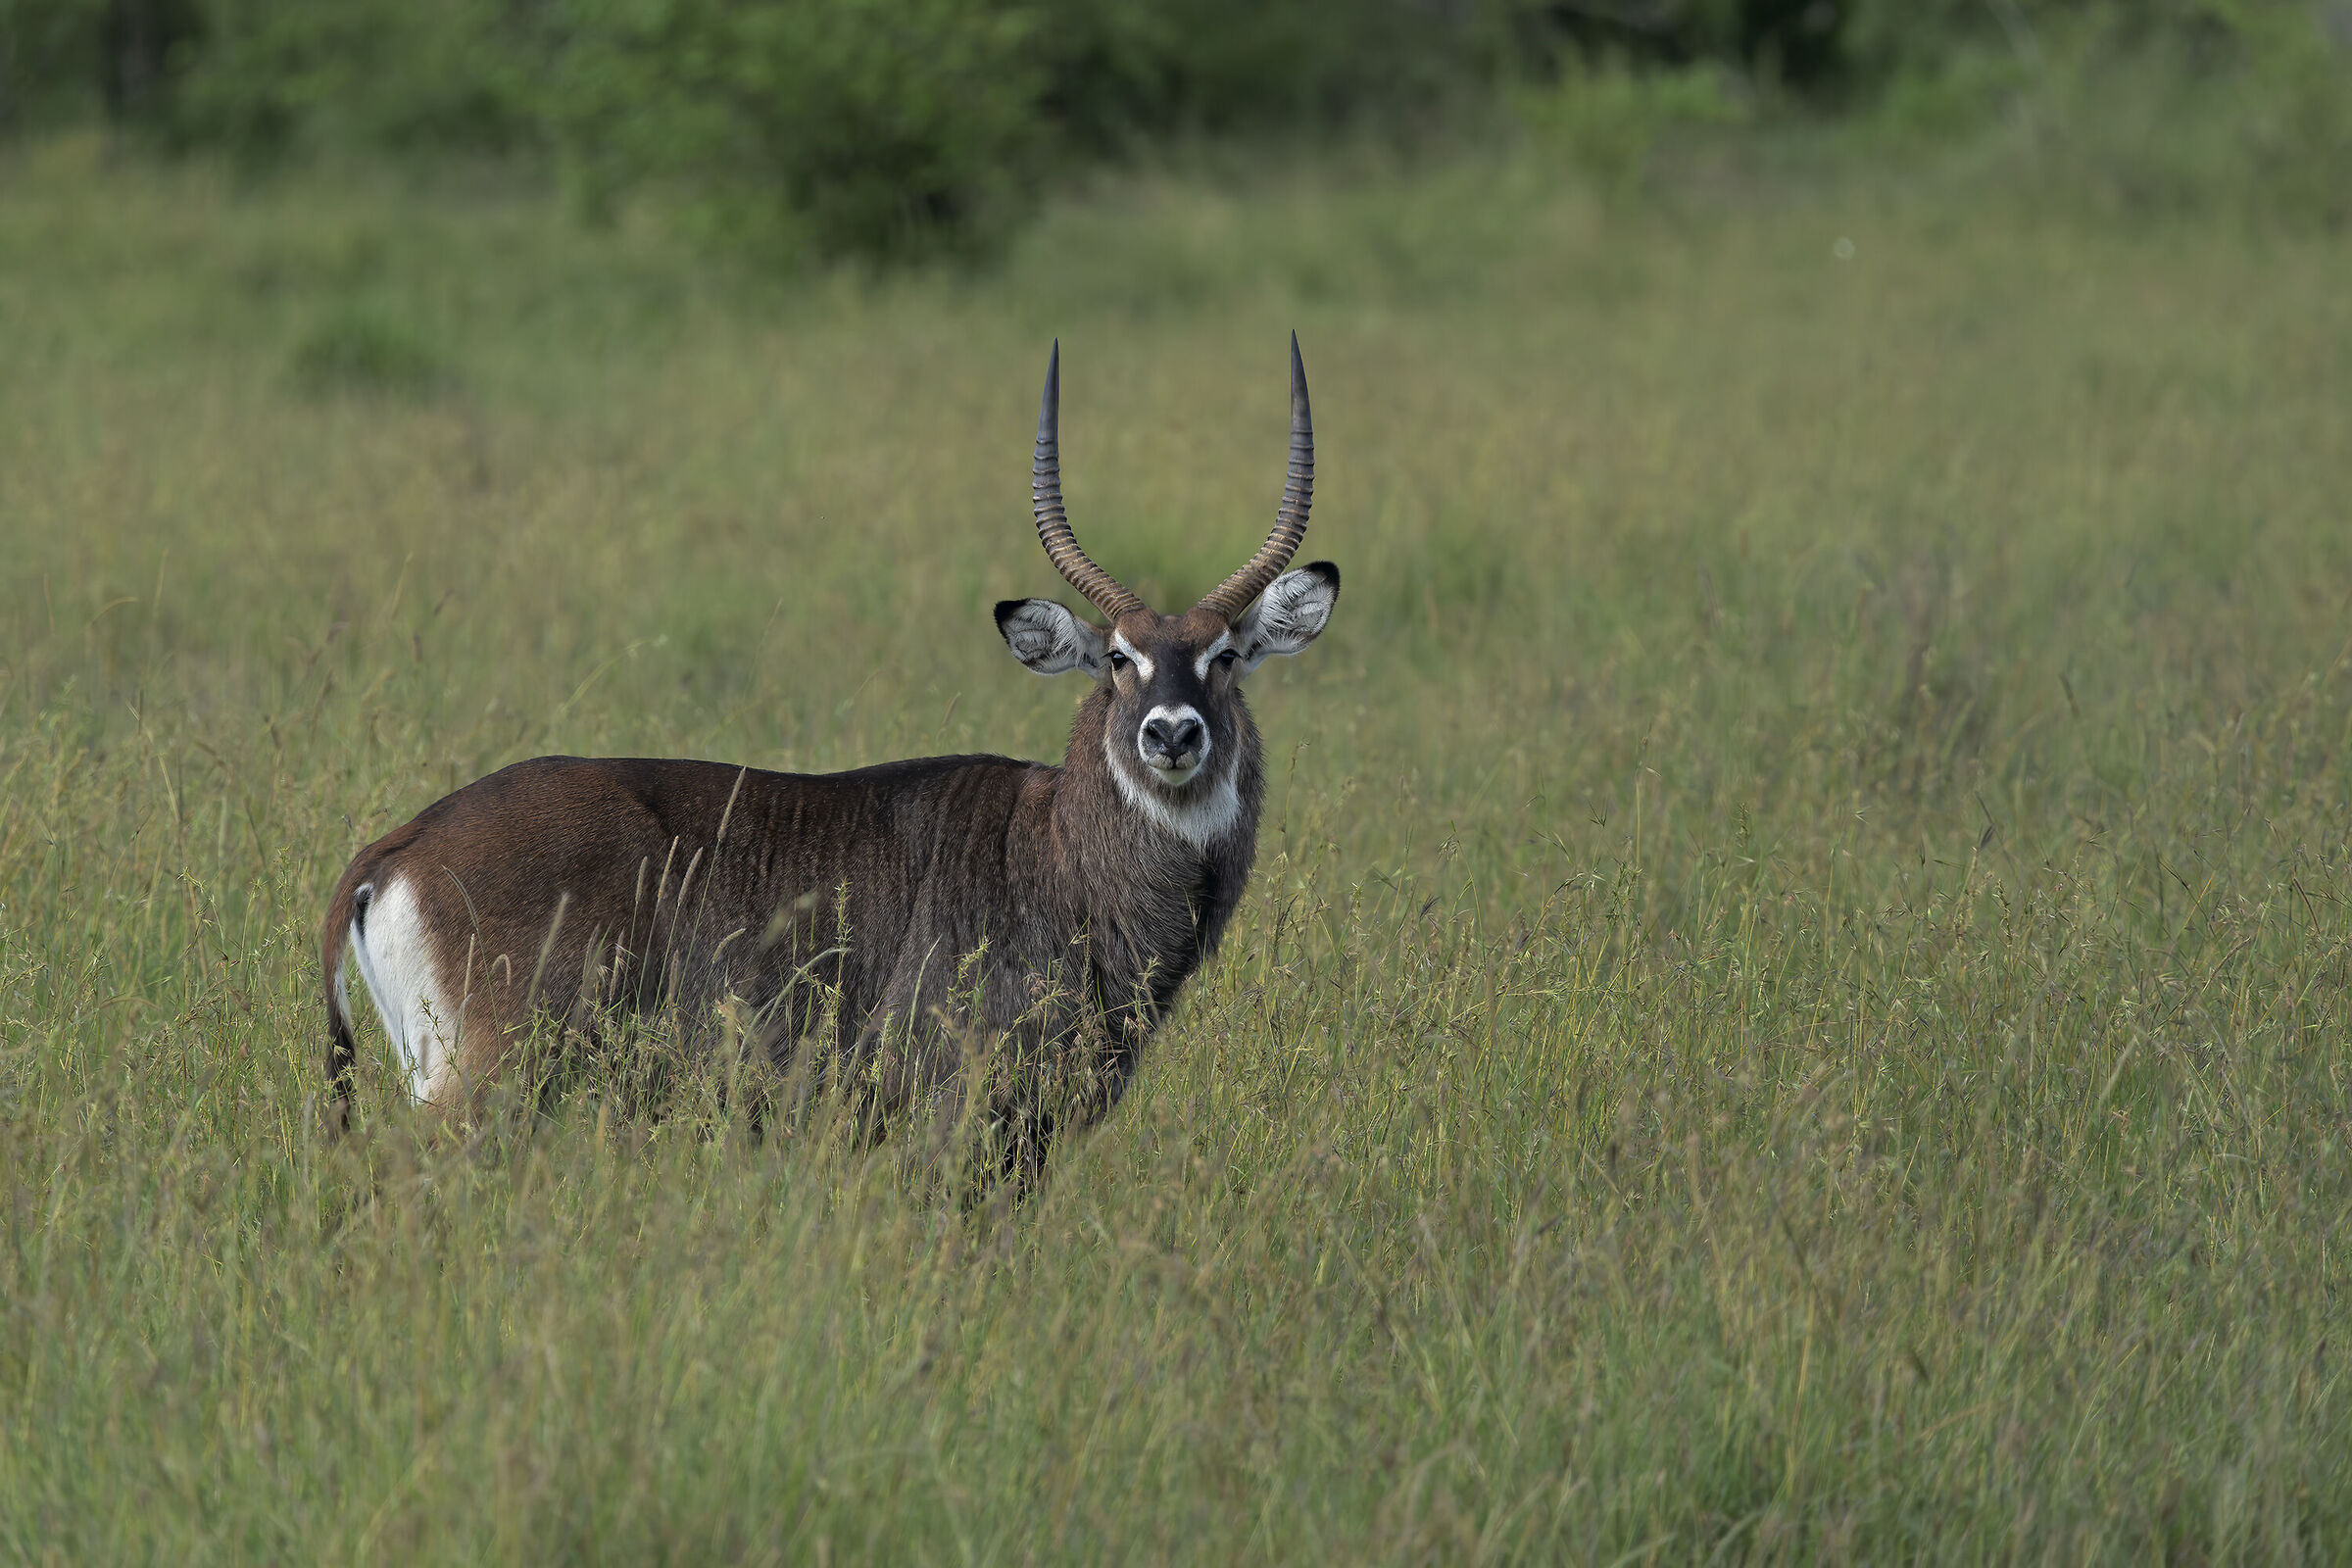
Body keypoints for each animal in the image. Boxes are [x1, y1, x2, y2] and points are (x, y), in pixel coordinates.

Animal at [321, 337, 1340, 1170]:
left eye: (1225, 655)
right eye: (1120, 659)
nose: (1171, 733)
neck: (1054, 854)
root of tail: (403, 843)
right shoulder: (957, 1117)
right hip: (485, 1081)